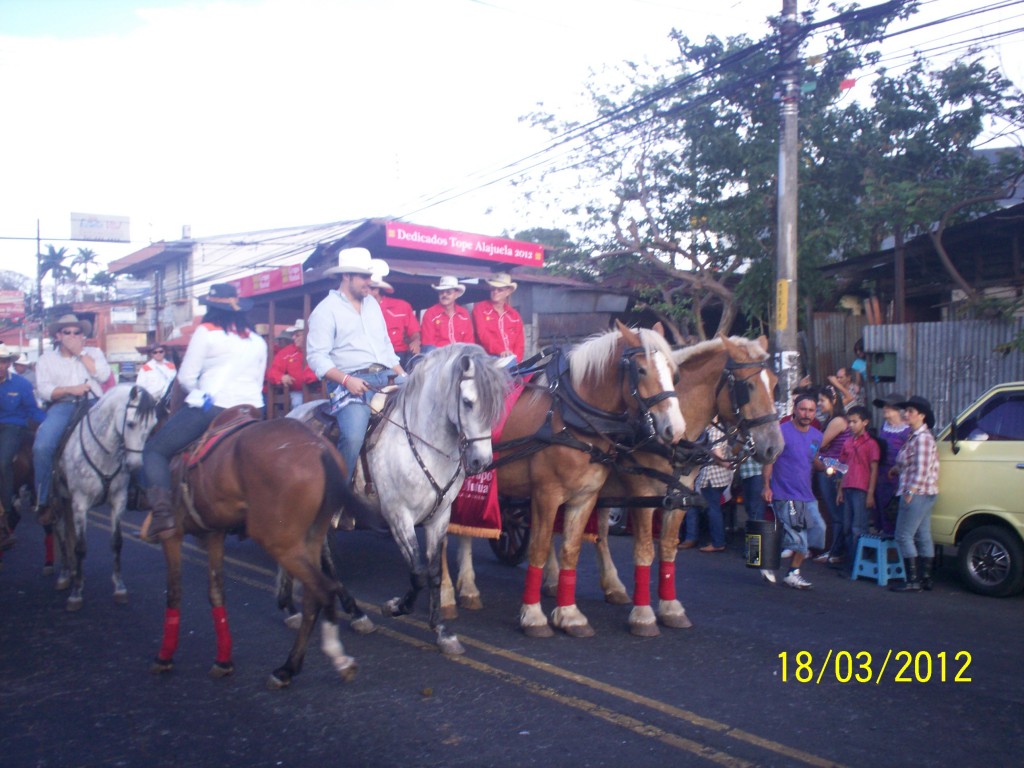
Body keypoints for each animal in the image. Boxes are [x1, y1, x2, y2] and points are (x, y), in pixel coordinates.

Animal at [51, 387, 160, 610]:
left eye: (152, 426)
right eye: (131, 423)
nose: (135, 465)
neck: (105, 454)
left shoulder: (119, 500)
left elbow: (117, 542)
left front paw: (119, 587)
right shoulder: (80, 503)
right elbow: (80, 547)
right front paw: (76, 593)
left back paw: (73, 572)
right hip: (58, 498)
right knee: (60, 529)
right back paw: (65, 574)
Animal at [151, 411, 372, 688]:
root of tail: (320, 447)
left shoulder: (174, 535)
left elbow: (174, 592)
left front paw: (164, 656)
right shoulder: (214, 534)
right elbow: (215, 592)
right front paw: (223, 660)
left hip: (279, 541)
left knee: (323, 589)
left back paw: (336, 656)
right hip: (305, 537)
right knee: (315, 594)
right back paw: (289, 666)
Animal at [497, 321, 688, 638]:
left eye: (673, 372)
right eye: (641, 370)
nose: (675, 429)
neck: (573, 418)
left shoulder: (585, 497)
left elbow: (571, 550)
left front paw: (569, 615)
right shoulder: (546, 494)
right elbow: (539, 548)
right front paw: (534, 615)